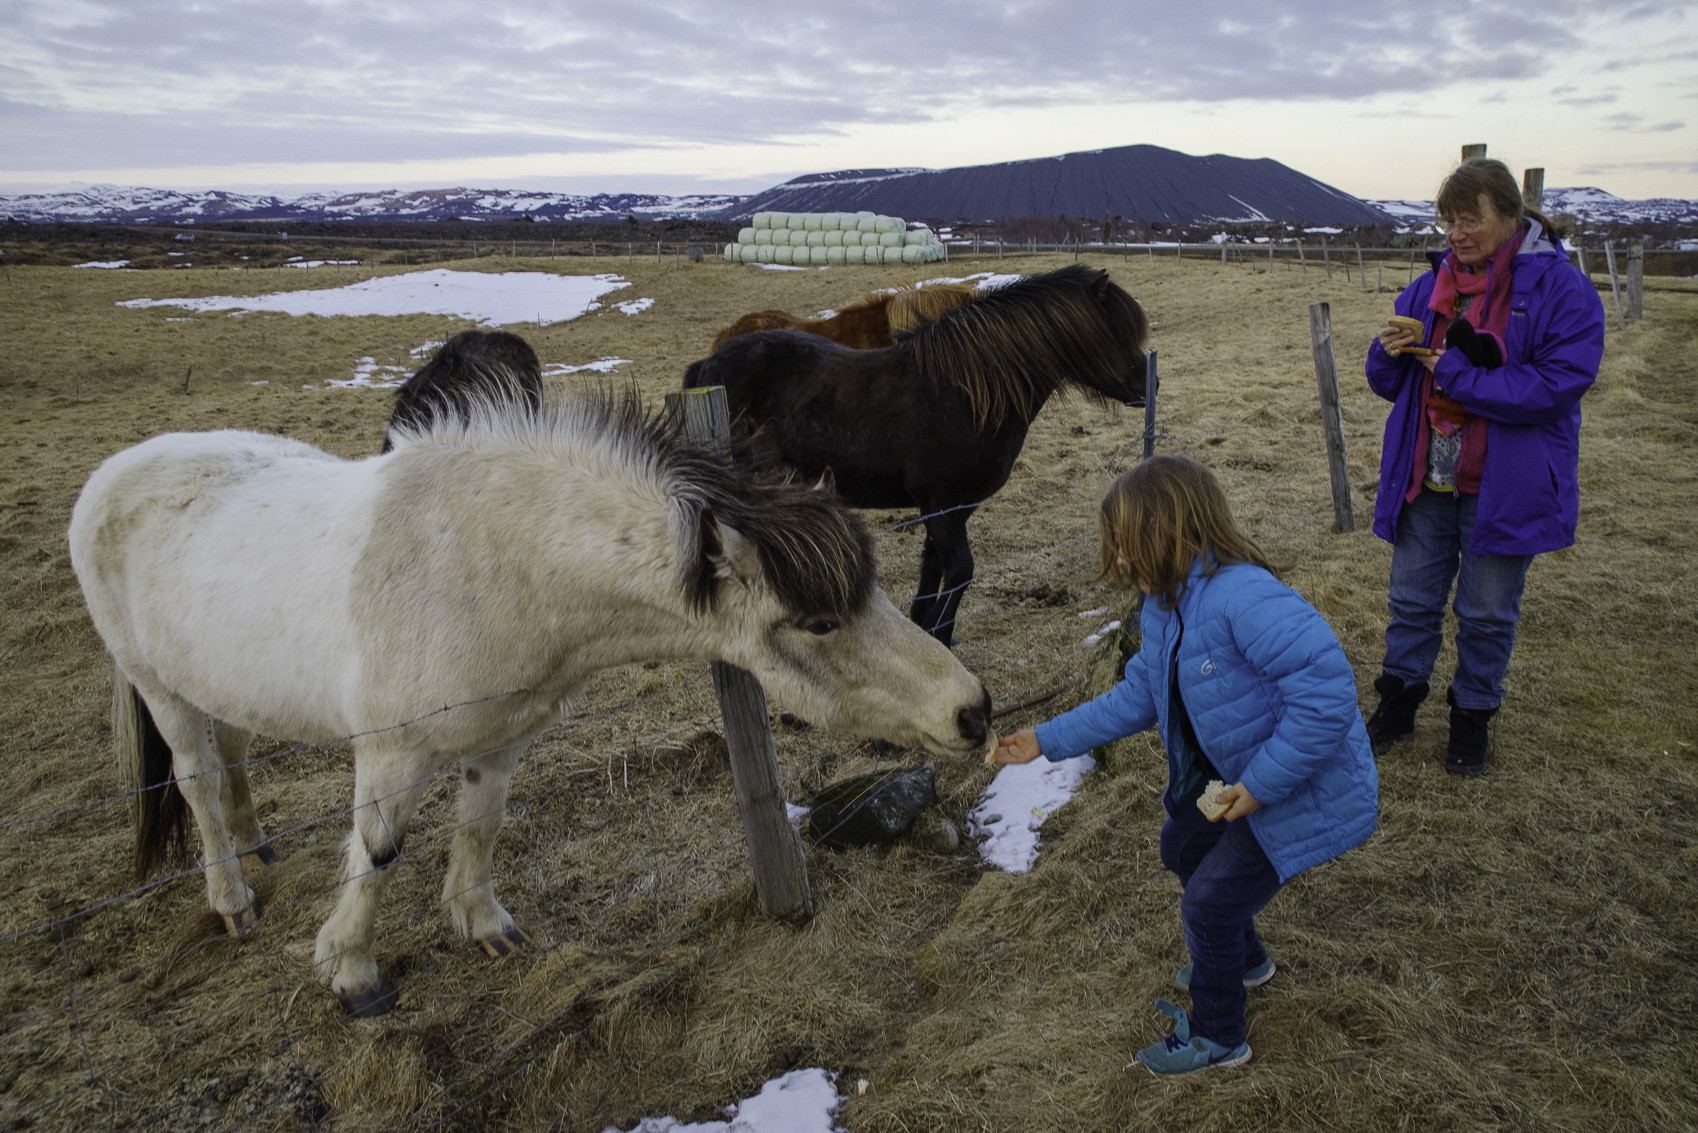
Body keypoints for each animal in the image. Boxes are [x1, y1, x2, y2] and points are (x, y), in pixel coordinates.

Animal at [69, 392, 991, 1019]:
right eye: (820, 621)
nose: (973, 710)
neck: (498, 565)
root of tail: (111, 473)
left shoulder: (503, 735)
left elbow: (481, 825)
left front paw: (484, 924)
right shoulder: (391, 754)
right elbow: (376, 853)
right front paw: (354, 969)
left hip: (211, 676)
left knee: (230, 751)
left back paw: (259, 843)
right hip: (158, 688)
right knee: (195, 781)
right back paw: (231, 897)